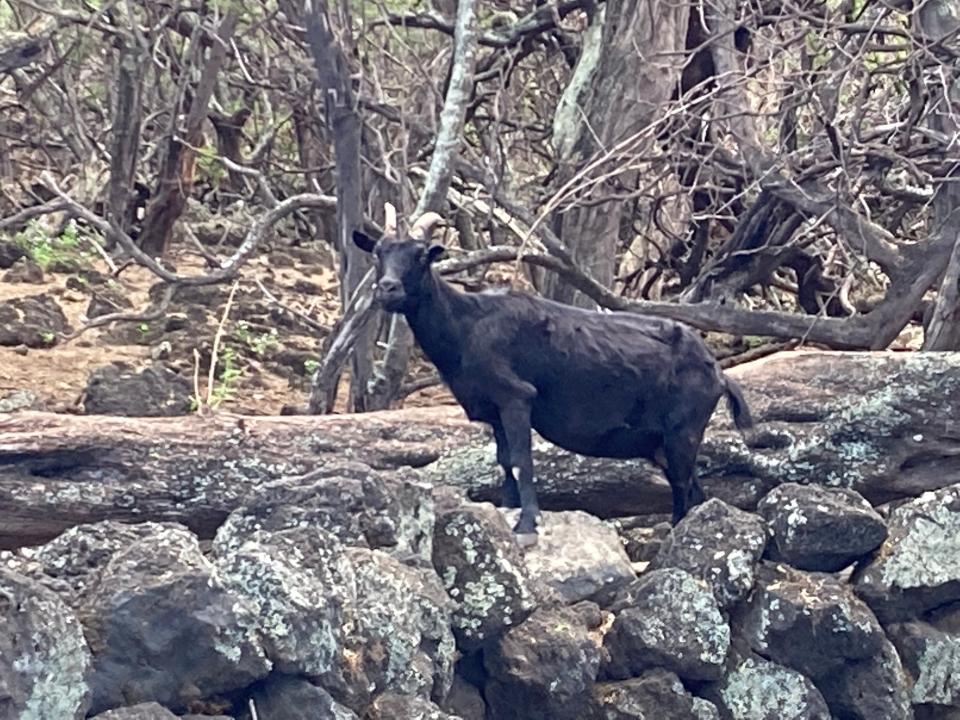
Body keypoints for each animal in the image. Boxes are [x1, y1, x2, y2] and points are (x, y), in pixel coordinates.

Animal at [352, 205, 752, 536]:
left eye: (420, 256)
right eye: (378, 253)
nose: (387, 289)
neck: (467, 325)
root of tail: (719, 373)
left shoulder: (516, 397)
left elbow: (521, 460)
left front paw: (528, 524)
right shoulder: (493, 410)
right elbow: (504, 463)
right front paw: (509, 511)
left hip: (683, 431)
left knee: (684, 490)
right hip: (661, 443)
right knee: (693, 490)